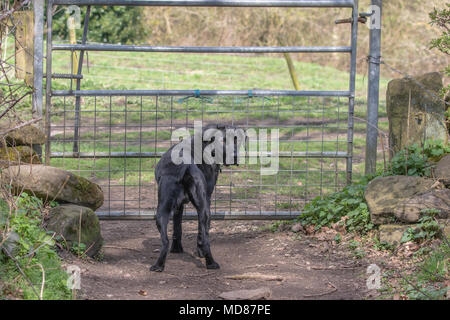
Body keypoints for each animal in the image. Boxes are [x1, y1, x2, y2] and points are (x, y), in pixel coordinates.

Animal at [150, 124, 243, 272]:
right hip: (203, 209)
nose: (234, 156)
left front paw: (177, 249)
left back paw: (158, 266)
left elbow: (177, 228)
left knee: (165, 241)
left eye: (236, 140)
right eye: (222, 140)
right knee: (205, 238)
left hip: (161, 210)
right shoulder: (205, 201)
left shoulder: (180, 206)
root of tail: (185, 165)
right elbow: (197, 231)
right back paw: (211, 263)